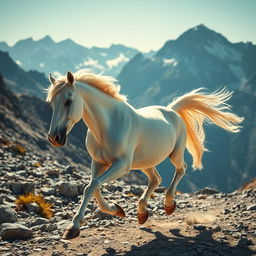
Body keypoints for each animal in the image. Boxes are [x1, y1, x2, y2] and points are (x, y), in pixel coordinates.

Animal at [46, 69, 244, 239]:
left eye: (68, 101)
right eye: (51, 103)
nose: (54, 138)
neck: (108, 126)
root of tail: (172, 110)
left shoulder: (122, 165)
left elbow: (92, 186)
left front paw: (73, 228)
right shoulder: (98, 162)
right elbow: (93, 187)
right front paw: (118, 211)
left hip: (175, 154)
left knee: (181, 169)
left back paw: (169, 205)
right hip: (146, 162)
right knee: (155, 179)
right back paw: (142, 213)